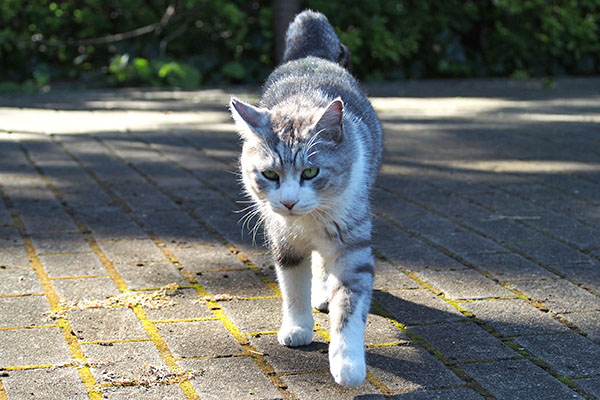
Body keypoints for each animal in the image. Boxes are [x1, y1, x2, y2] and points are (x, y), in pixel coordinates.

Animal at [227, 9, 382, 386]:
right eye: (270, 175)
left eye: (311, 172)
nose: (288, 202)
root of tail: (310, 56)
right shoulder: (284, 242)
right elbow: (293, 289)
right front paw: (297, 328)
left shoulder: (352, 245)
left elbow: (349, 306)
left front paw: (347, 363)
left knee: (325, 264)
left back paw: (324, 293)